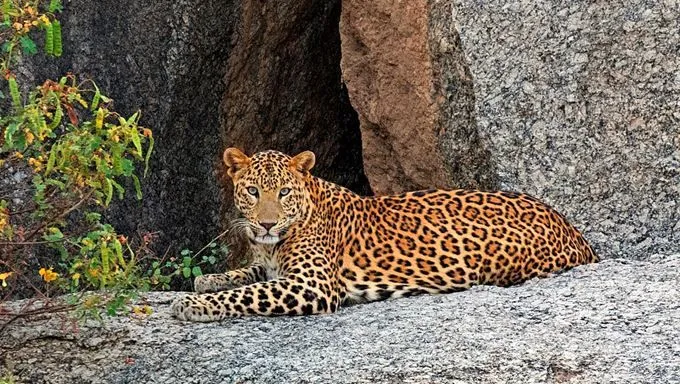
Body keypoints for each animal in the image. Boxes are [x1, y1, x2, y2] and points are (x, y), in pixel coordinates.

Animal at [173, 148, 596, 320]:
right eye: (252, 191)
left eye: (284, 193)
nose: (265, 224)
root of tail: (573, 230)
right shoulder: (276, 267)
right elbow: (248, 275)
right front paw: (210, 279)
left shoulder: (312, 285)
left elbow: (248, 293)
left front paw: (193, 305)